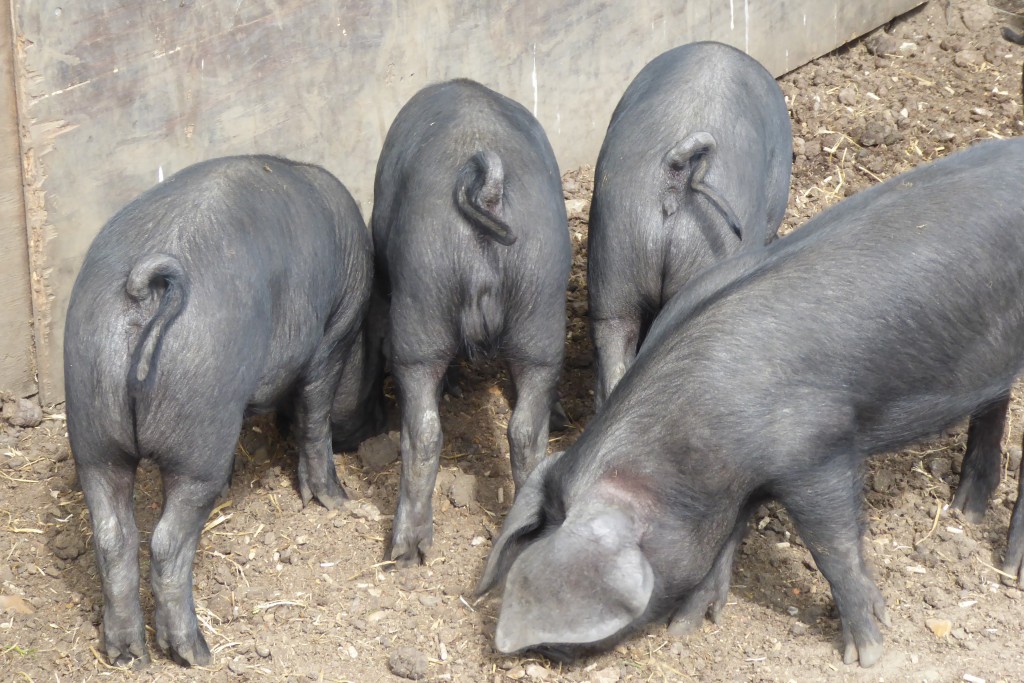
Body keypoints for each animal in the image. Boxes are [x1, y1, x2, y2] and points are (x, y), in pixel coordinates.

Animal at [64, 156, 385, 667]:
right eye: (377, 373)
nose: (379, 425)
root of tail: (147, 287)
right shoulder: (332, 337)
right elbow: (315, 413)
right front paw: (336, 501)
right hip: (197, 433)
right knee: (166, 542)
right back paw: (195, 654)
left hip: (92, 426)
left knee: (113, 535)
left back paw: (128, 655)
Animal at [372, 78, 573, 565]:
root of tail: (486, 188)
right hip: (539, 303)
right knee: (524, 431)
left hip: (420, 302)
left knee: (423, 430)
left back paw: (407, 551)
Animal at [477, 139, 1024, 667]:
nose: (542, 652)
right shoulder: (738, 482)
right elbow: (726, 541)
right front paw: (687, 626)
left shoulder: (818, 452)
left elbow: (834, 547)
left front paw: (866, 654)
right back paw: (968, 510)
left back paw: (1009, 567)